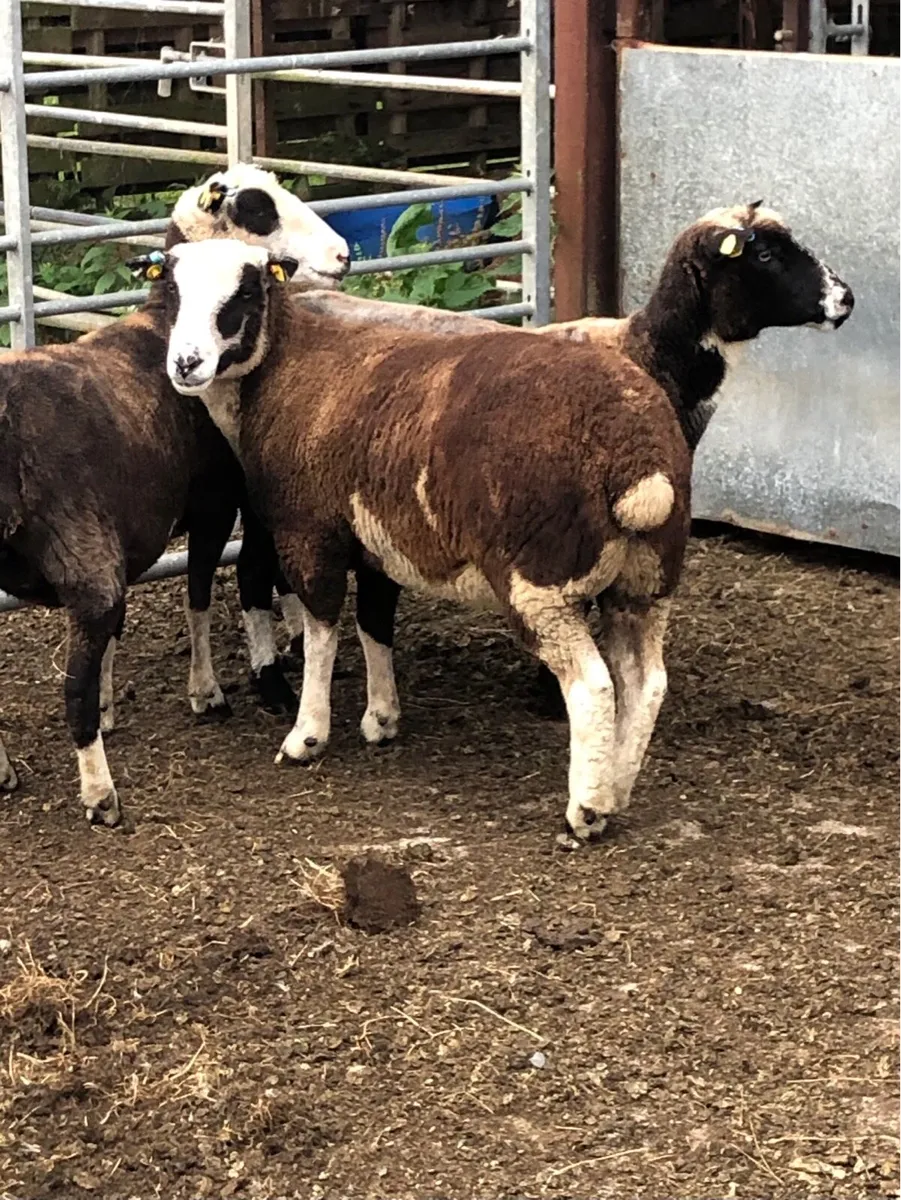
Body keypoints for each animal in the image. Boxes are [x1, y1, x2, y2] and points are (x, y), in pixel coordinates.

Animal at [0, 166, 349, 826]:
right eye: (259, 209)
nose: (345, 255)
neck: (162, 327)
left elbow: (120, 632)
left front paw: (112, 703)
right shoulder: (216, 504)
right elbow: (203, 595)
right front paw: (207, 691)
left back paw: (6, 769)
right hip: (84, 560)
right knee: (71, 685)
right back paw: (100, 795)